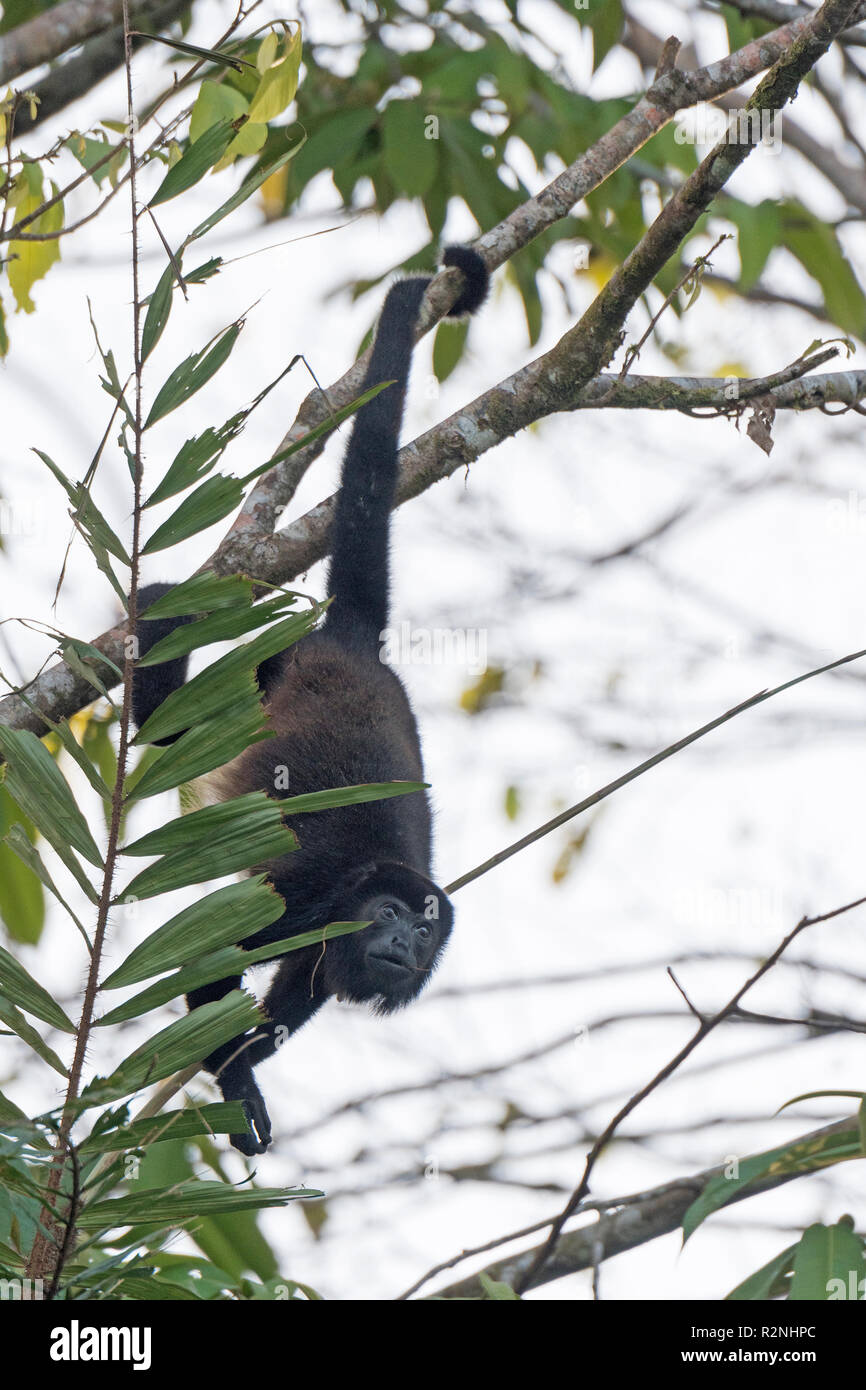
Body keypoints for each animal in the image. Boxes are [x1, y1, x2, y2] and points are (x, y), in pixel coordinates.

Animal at [132, 247, 492, 1150]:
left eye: (425, 925)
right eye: (391, 913)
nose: (404, 939)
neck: (365, 884)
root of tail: (353, 642)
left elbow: (305, 989)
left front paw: (252, 1058)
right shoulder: (310, 897)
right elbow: (211, 955)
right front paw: (235, 1081)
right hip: (276, 659)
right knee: (170, 718)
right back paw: (157, 608)